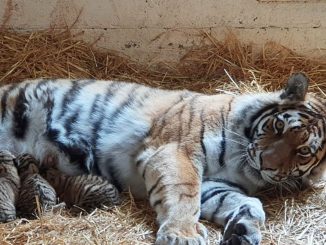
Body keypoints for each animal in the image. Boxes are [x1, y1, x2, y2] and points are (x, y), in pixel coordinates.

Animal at [0, 73, 324, 244]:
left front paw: (243, 229)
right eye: (279, 126)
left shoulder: (216, 184)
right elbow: (183, 194)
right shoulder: (175, 149)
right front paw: (183, 235)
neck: (241, 162)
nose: (267, 164)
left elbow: (248, 203)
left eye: (303, 151)